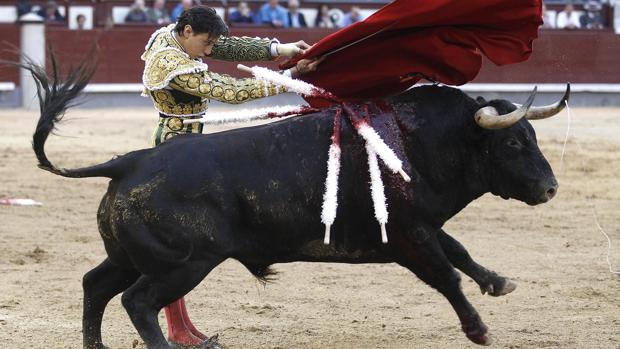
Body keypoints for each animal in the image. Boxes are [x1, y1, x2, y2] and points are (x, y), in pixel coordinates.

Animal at [26, 59, 564, 346]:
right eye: (512, 143)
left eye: (533, 136)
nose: (550, 189)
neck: (419, 142)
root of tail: (128, 163)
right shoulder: (409, 236)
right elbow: (447, 275)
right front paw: (479, 330)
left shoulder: (424, 226)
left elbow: (461, 253)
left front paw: (499, 282)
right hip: (183, 264)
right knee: (138, 302)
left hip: (130, 256)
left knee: (95, 285)